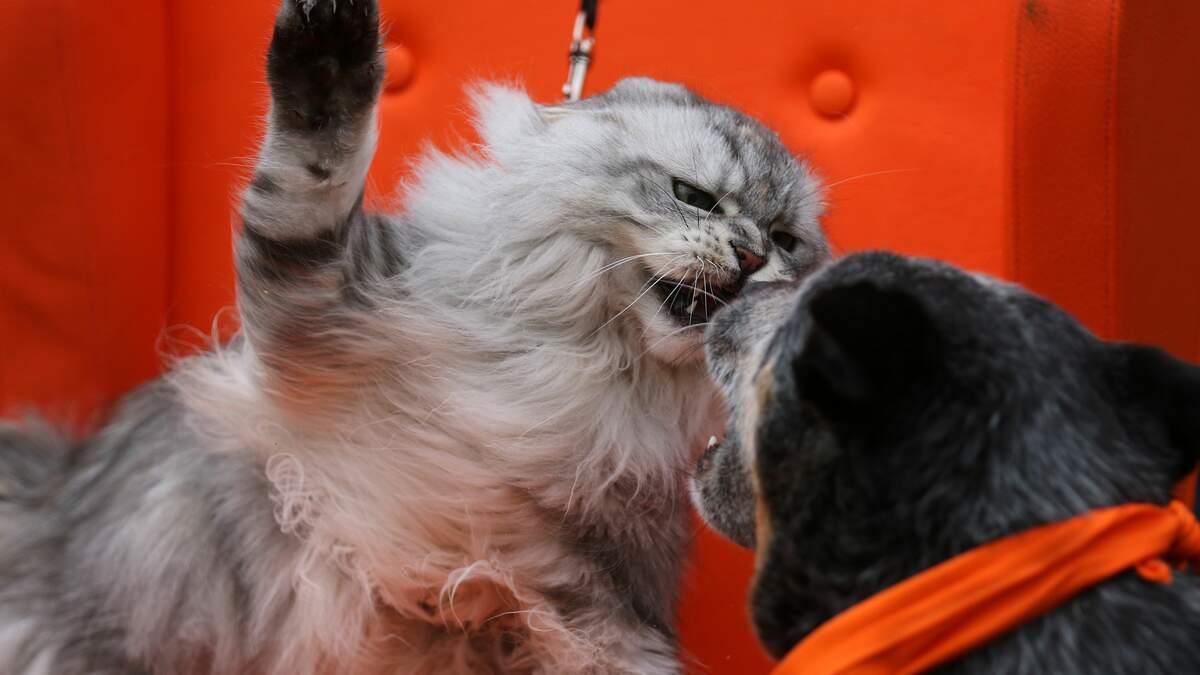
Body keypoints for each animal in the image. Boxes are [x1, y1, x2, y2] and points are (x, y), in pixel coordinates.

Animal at [0, 1, 828, 673]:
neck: (589, 360)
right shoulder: (324, 307)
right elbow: (310, 168)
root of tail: (50, 496)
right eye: (694, 196)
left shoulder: (608, 599)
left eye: (787, 241)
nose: (751, 256)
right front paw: (330, 49)